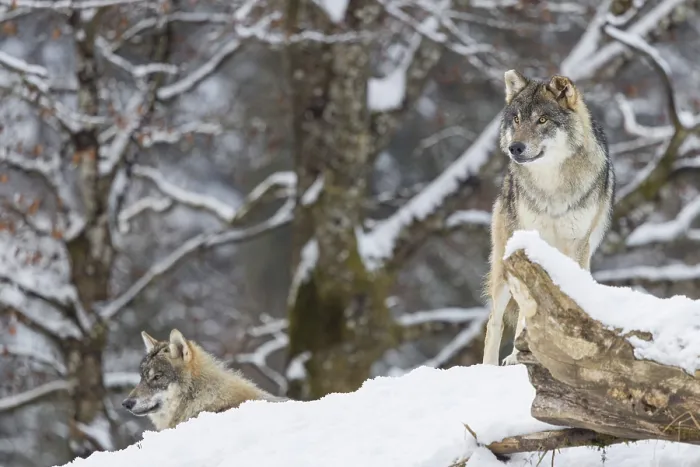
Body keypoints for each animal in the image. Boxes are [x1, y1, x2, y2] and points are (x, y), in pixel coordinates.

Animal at [482, 70, 615, 366]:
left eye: (542, 120)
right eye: (517, 119)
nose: (515, 148)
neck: (552, 185)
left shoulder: (578, 246)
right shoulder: (529, 245)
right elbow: (523, 314)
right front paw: (520, 356)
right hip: (503, 265)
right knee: (495, 321)